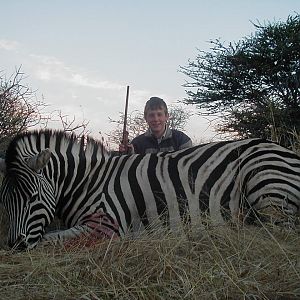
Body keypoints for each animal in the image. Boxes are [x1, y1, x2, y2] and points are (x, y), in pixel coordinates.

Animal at [0, 130, 298, 250]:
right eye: (4, 202)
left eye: (33, 198)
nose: (15, 247)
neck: (89, 182)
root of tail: (286, 151)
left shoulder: (105, 226)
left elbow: (49, 240)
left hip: (263, 181)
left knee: (277, 232)